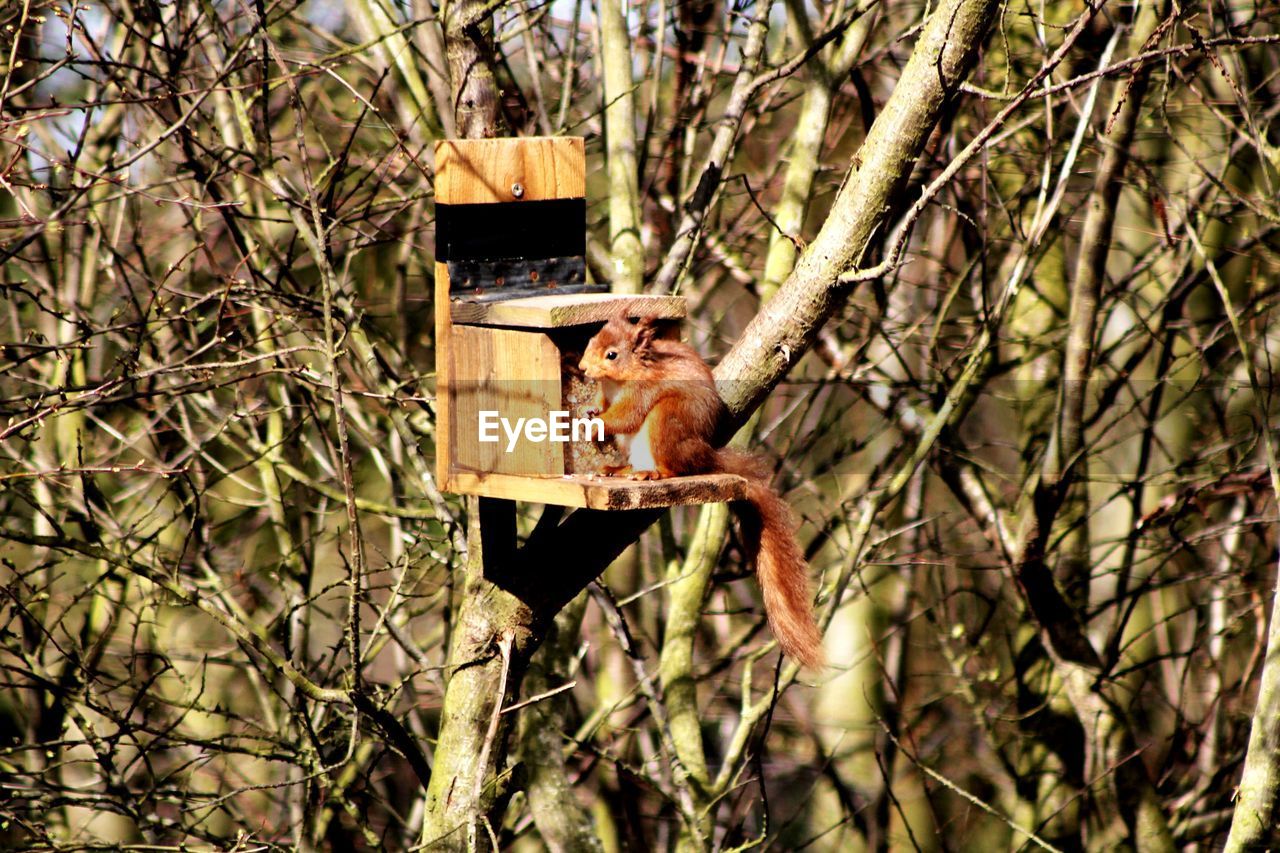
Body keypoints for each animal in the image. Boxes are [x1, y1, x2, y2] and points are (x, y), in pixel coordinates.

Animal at [578, 315, 824, 666]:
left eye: (612, 355)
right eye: (589, 341)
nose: (583, 368)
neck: (623, 378)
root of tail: (706, 457)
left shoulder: (642, 393)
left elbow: (625, 416)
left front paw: (594, 423)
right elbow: (604, 406)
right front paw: (591, 412)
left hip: (666, 421)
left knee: (674, 467)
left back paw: (652, 473)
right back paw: (618, 470)